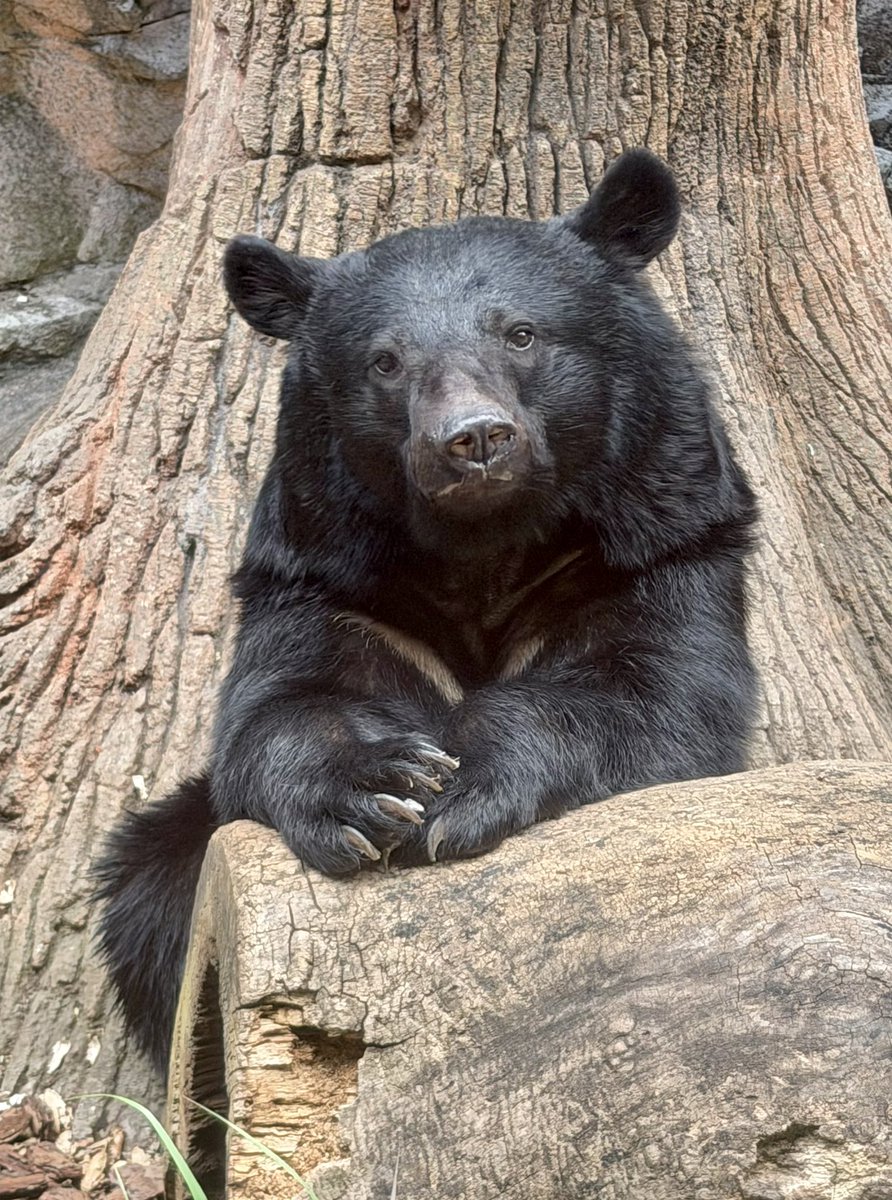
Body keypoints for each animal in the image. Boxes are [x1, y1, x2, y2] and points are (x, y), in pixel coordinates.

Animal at [95, 149, 758, 1073]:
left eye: (521, 333)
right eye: (386, 362)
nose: (473, 439)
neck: (482, 547)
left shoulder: (661, 536)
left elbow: (655, 692)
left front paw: (460, 786)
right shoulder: (327, 579)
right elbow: (284, 704)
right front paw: (380, 788)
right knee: (151, 898)